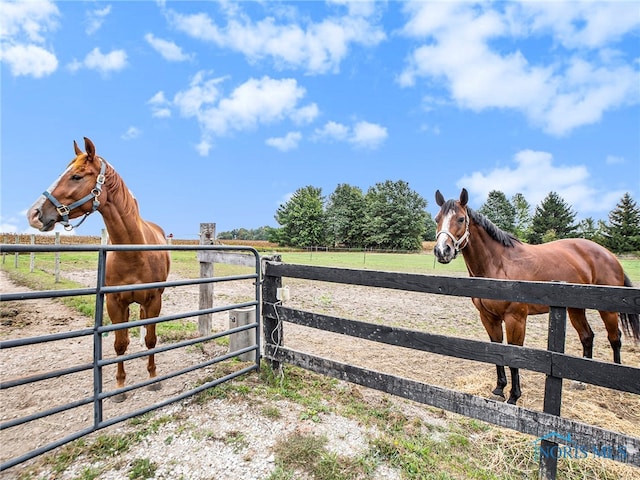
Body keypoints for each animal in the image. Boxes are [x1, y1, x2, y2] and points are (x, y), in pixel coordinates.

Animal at [27, 136, 170, 402]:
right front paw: (119, 387)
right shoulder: (114, 302)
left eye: (76, 176)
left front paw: (153, 377)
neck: (134, 252)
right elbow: (119, 343)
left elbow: (150, 339)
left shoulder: (154, 300)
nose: (34, 213)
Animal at [432, 188, 636, 404]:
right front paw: (499, 389)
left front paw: (514, 396)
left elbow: (513, 354)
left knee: (615, 338)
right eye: (437, 218)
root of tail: (609, 254)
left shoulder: (515, 319)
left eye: (461, 219)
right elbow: (497, 350)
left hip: (608, 311)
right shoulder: (488, 317)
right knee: (587, 336)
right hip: (575, 309)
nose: (442, 250)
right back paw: (581, 382)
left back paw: (618, 386)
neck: (499, 264)